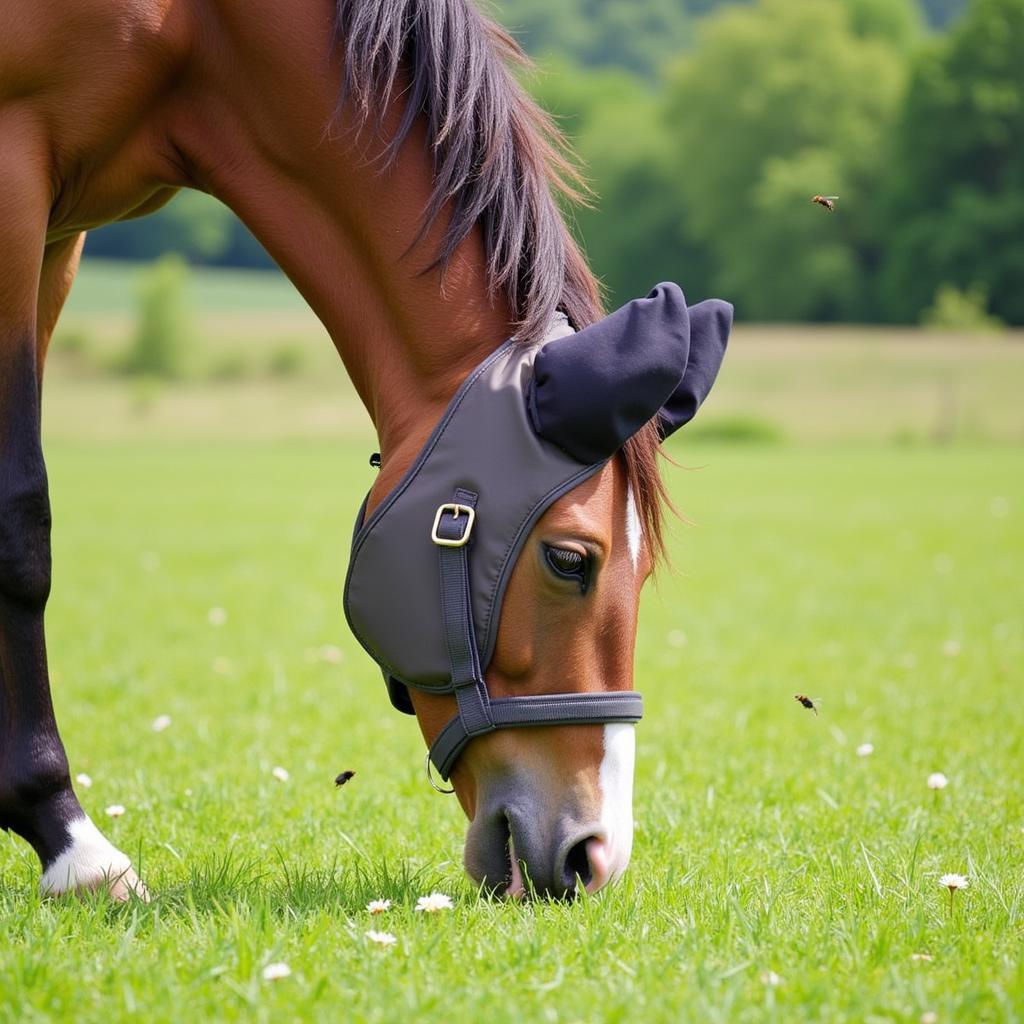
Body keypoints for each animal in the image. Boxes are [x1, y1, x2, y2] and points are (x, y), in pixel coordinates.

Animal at [0, 0, 729, 901]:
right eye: (570, 561)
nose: (594, 856)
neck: (195, 34)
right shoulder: (15, 182)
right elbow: (20, 521)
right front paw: (69, 841)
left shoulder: (59, 239)